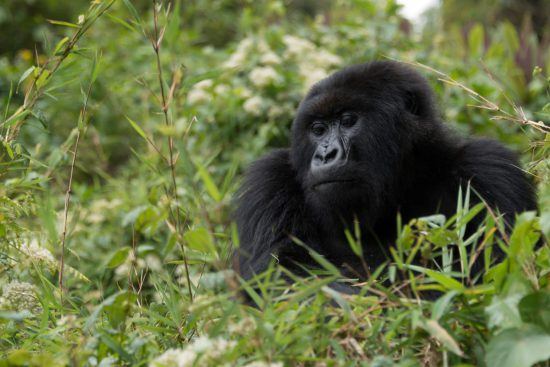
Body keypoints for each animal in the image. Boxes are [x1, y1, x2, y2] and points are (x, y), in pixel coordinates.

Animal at [234, 60, 540, 290]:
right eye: (318, 129)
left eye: (348, 121)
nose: (326, 155)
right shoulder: (269, 180)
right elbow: (283, 276)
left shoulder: (489, 169)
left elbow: (498, 275)